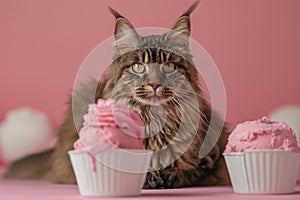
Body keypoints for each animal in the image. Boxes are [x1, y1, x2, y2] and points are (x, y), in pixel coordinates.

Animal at [4, 1, 230, 189]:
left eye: (169, 66)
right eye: (139, 67)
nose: (155, 84)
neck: (154, 121)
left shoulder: (209, 156)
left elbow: (190, 171)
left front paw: (168, 175)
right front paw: (149, 177)